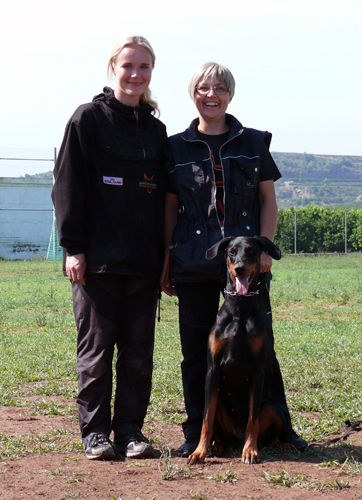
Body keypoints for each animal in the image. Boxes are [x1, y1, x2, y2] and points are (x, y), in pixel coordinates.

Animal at [188, 235, 290, 464]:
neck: (239, 309)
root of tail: (237, 438)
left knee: (270, 435)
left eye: (251, 251)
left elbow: (253, 418)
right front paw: (199, 452)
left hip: (273, 407)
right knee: (216, 426)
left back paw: (285, 444)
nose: (240, 268)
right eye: (232, 251)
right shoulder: (213, 369)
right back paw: (216, 446)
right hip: (219, 403)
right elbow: (206, 419)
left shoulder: (257, 372)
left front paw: (250, 451)